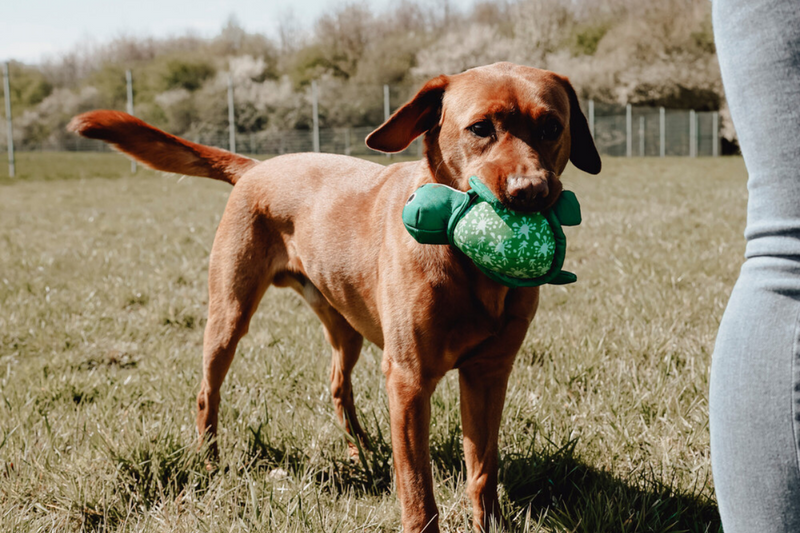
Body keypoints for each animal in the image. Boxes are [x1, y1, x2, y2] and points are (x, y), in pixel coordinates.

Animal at [70, 63, 600, 532]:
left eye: (552, 127)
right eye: (480, 129)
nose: (531, 192)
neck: (471, 268)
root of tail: (258, 167)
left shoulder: (488, 374)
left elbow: (483, 473)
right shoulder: (409, 379)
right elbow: (417, 487)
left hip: (347, 324)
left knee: (337, 384)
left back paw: (362, 448)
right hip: (229, 314)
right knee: (208, 393)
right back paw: (209, 463)